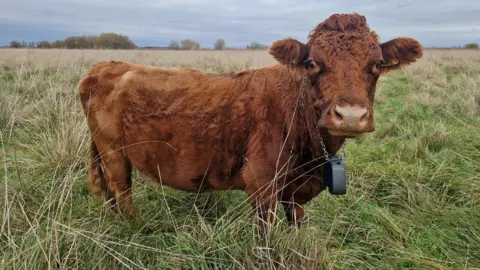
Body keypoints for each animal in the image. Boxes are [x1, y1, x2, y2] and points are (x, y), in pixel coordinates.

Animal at [77, 13, 422, 228]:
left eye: (377, 63)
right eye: (312, 63)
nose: (350, 115)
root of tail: (107, 66)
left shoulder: (294, 192)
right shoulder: (262, 184)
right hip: (113, 152)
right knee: (121, 190)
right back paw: (137, 228)